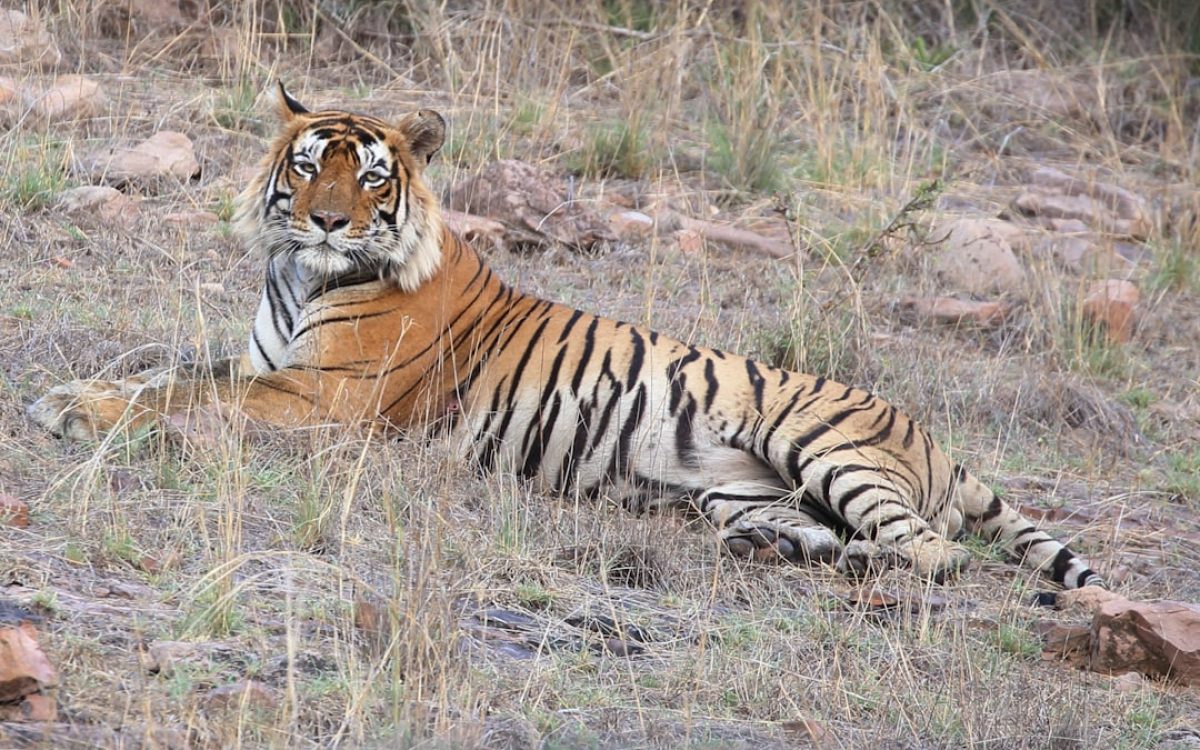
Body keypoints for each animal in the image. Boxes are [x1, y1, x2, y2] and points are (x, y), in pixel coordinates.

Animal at [28, 86, 1104, 590]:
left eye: (370, 176)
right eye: (307, 165)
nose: (328, 222)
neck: (298, 275)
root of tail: (936, 439)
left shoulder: (321, 399)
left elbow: (184, 394)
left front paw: (71, 408)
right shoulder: (272, 369)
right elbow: (175, 371)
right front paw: (77, 392)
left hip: (825, 448)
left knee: (935, 552)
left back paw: (859, 564)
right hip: (739, 492)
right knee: (820, 533)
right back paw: (783, 554)